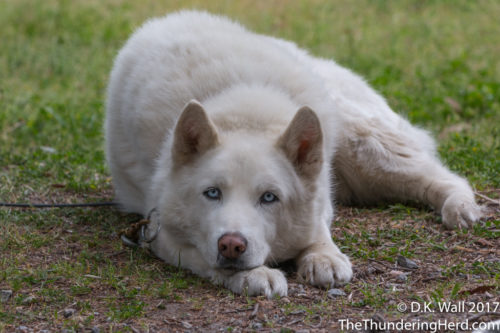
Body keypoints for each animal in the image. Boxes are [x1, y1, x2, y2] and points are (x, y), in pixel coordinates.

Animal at [104, 10, 480, 296]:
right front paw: (255, 275)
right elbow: (210, 261)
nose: (231, 245)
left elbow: (317, 229)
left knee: (445, 177)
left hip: (367, 152)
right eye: (212, 193)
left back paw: (460, 207)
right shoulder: (161, 233)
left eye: (269, 198)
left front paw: (323, 256)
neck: (247, 112)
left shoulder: (319, 200)